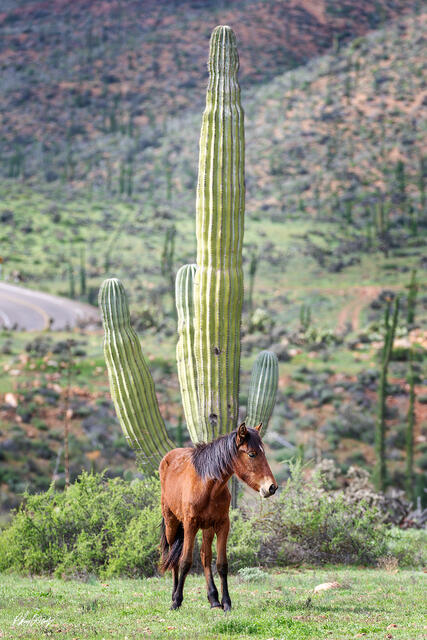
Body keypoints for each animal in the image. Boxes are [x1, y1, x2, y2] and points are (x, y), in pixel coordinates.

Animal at [159, 421, 278, 610]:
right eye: (252, 454)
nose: (271, 487)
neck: (207, 486)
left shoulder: (223, 525)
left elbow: (221, 564)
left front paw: (226, 602)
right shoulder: (190, 525)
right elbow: (185, 562)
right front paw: (177, 601)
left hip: (207, 528)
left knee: (205, 557)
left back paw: (213, 599)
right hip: (172, 523)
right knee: (173, 557)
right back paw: (174, 594)